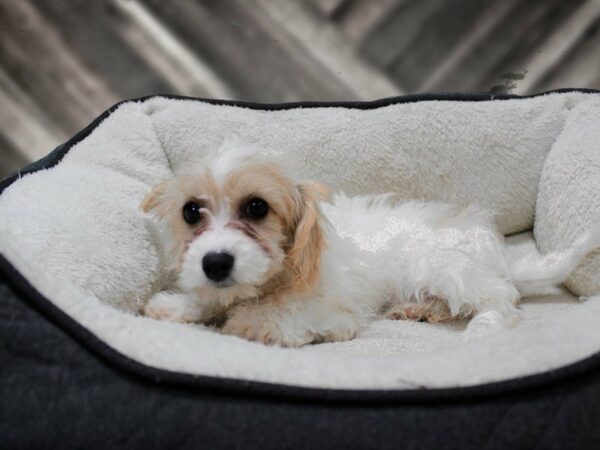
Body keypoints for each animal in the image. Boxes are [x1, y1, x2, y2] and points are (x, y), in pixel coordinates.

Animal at [142, 142, 600, 346]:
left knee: (502, 300)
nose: (215, 263)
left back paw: (483, 324)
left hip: (447, 269)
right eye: (190, 212)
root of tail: (499, 256)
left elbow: (272, 316)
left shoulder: (334, 315)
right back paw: (418, 309)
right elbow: (212, 299)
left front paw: (250, 319)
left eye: (257, 207)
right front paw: (180, 306)